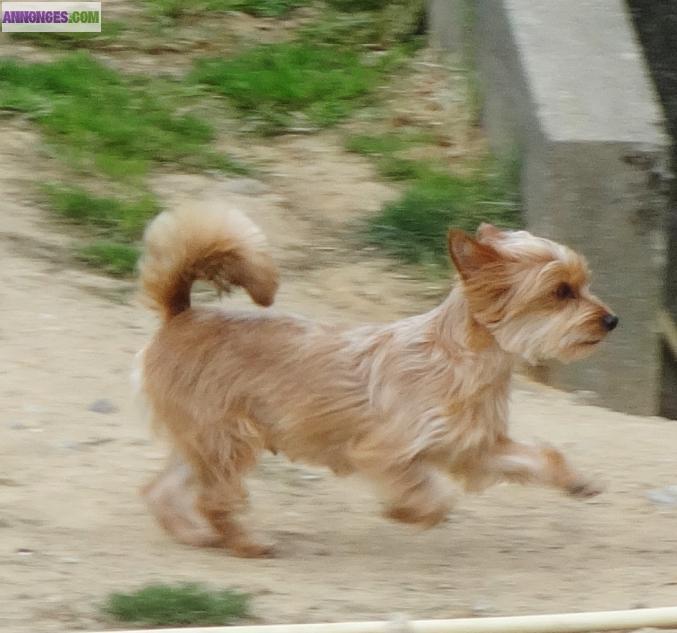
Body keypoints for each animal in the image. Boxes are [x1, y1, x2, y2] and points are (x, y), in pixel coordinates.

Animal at [135, 205, 616, 556]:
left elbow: (538, 457)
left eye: (583, 285)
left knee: (161, 489)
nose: (612, 320)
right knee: (212, 498)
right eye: (560, 292)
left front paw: (576, 481)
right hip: (227, 440)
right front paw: (410, 513)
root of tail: (181, 315)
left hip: (205, 442)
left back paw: (194, 534)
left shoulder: (475, 449)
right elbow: (429, 494)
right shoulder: (385, 452)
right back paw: (247, 543)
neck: (460, 360)